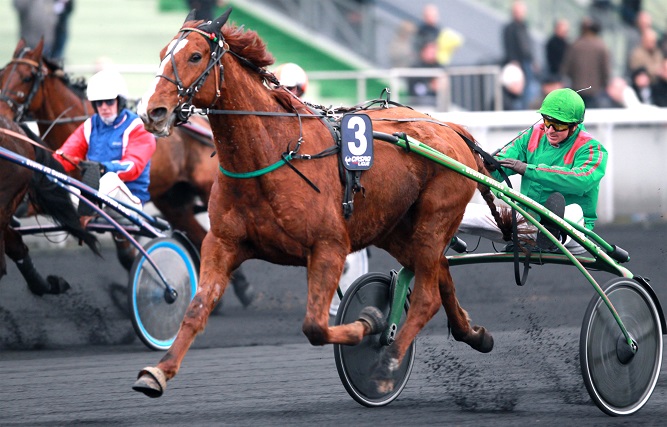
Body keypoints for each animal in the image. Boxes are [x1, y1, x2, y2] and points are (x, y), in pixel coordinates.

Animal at [0, 36, 253, 304]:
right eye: (3, 72)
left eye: (27, 77)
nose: (4, 114)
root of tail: (206, 128)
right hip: (172, 201)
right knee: (196, 233)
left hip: (209, 191)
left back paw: (243, 288)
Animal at [132, 10, 506, 402]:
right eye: (162, 53)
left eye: (195, 56)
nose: (152, 111)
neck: (273, 153)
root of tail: (450, 127)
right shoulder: (222, 243)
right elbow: (196, 308)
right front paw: (158, 371)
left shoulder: (329, 246)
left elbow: (314, 325)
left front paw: (367, 324)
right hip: (392, 228)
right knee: (440, 273)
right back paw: (474, 334)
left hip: (435, 218)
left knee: (427, 296)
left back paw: (389, 360)